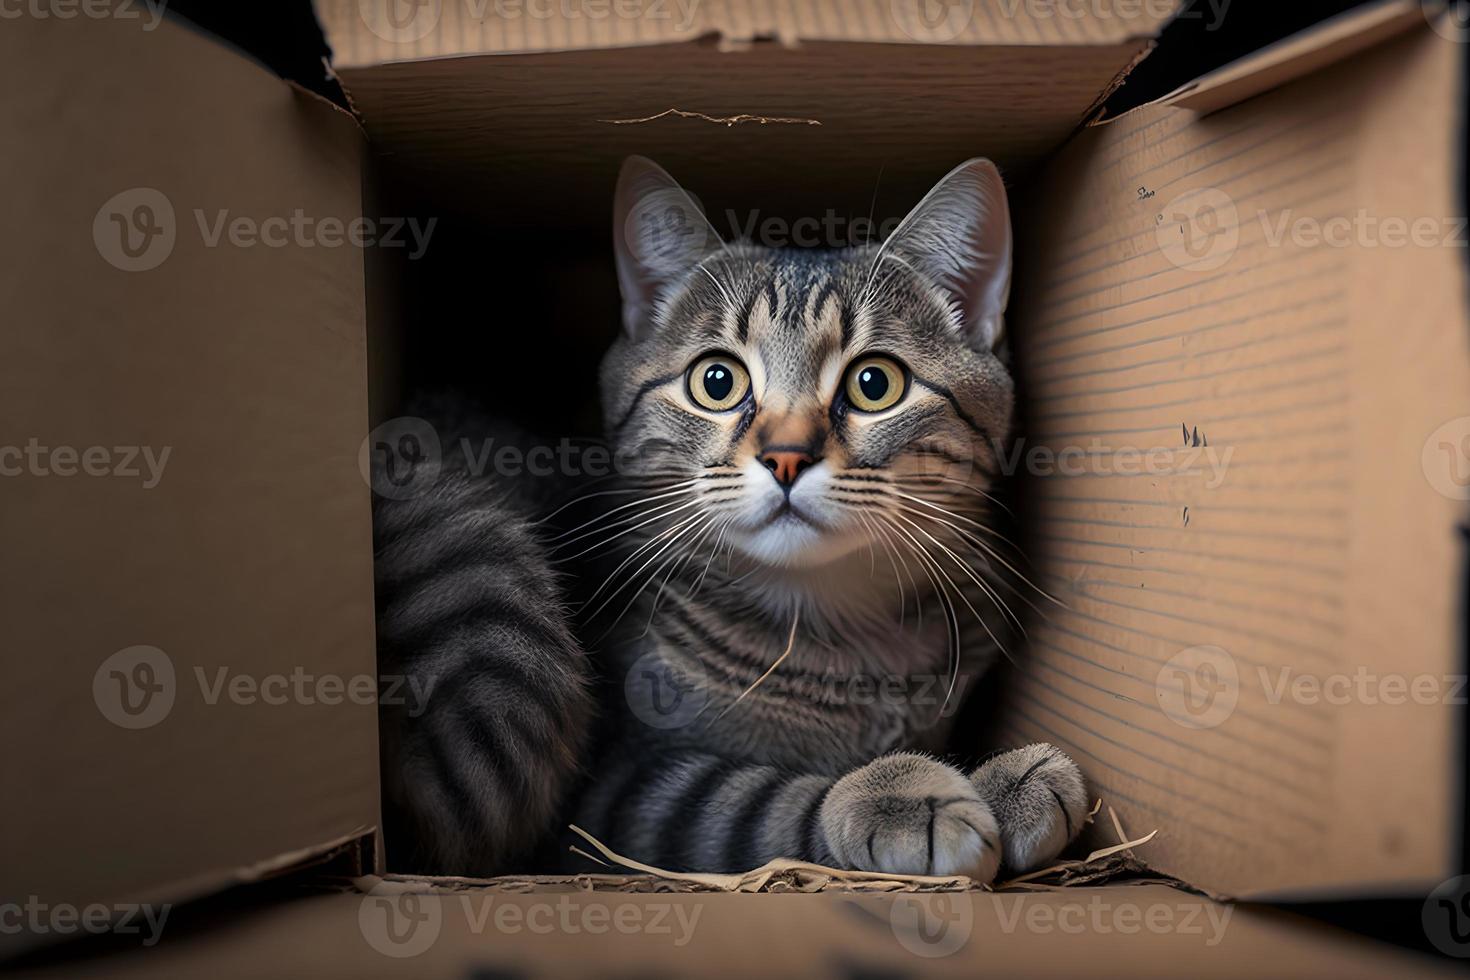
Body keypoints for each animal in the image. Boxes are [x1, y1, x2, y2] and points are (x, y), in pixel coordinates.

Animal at [376, 155, 1093, 881]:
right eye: (715, 381)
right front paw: (895, 794)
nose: (786, 455)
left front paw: (1002, 777)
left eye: (875, 384)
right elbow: (757, 801)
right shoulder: (621, 796)